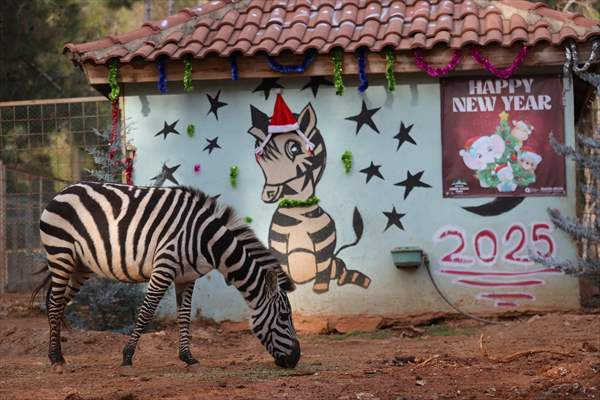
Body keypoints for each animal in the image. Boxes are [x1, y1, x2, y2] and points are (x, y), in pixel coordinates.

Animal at [32, 182, 300, 372]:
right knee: (54, 303)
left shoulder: (186, 277)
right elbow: (146, 311)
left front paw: (189, 358)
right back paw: (56, 359)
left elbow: (185, 317)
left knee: (57, 302)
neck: (206, 241)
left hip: (80, 266)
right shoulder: (164, 267)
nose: (296, 358)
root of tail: (63, 190)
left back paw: (57, 355)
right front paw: (127, 357)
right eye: (284, 316)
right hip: (61, 254)